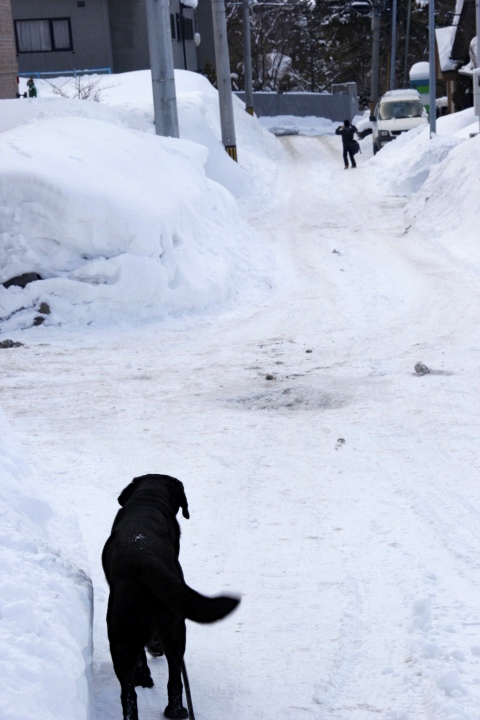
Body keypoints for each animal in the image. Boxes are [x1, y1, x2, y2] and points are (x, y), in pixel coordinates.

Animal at [104, 476, 240, 720]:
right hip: (173, 628)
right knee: (173, 678)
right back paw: (176, 710)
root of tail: (145, 561)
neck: (148, 501)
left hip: (125, 634)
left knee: (130, 692)